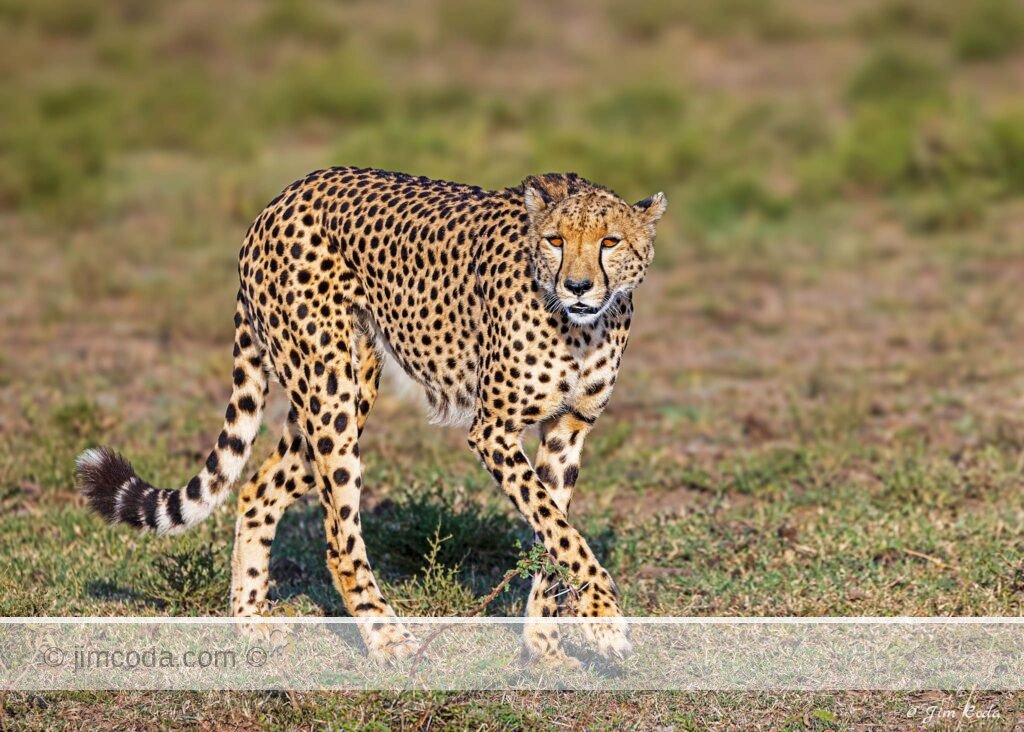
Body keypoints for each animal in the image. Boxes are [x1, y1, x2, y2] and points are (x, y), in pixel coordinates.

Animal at [75, 166, 667, 665]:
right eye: (555, 241)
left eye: (610, 241)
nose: (577, 286)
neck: (583, 327)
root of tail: (283, 197)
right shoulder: (493, 431)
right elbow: (563, 533)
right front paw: (604, 619)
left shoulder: (568, 430)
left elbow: (554, 537)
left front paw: (546, 648)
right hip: (329, 392)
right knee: (339, 539)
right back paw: (386, 637)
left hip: (343, 390)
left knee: (259, 488)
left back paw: (250, 621)